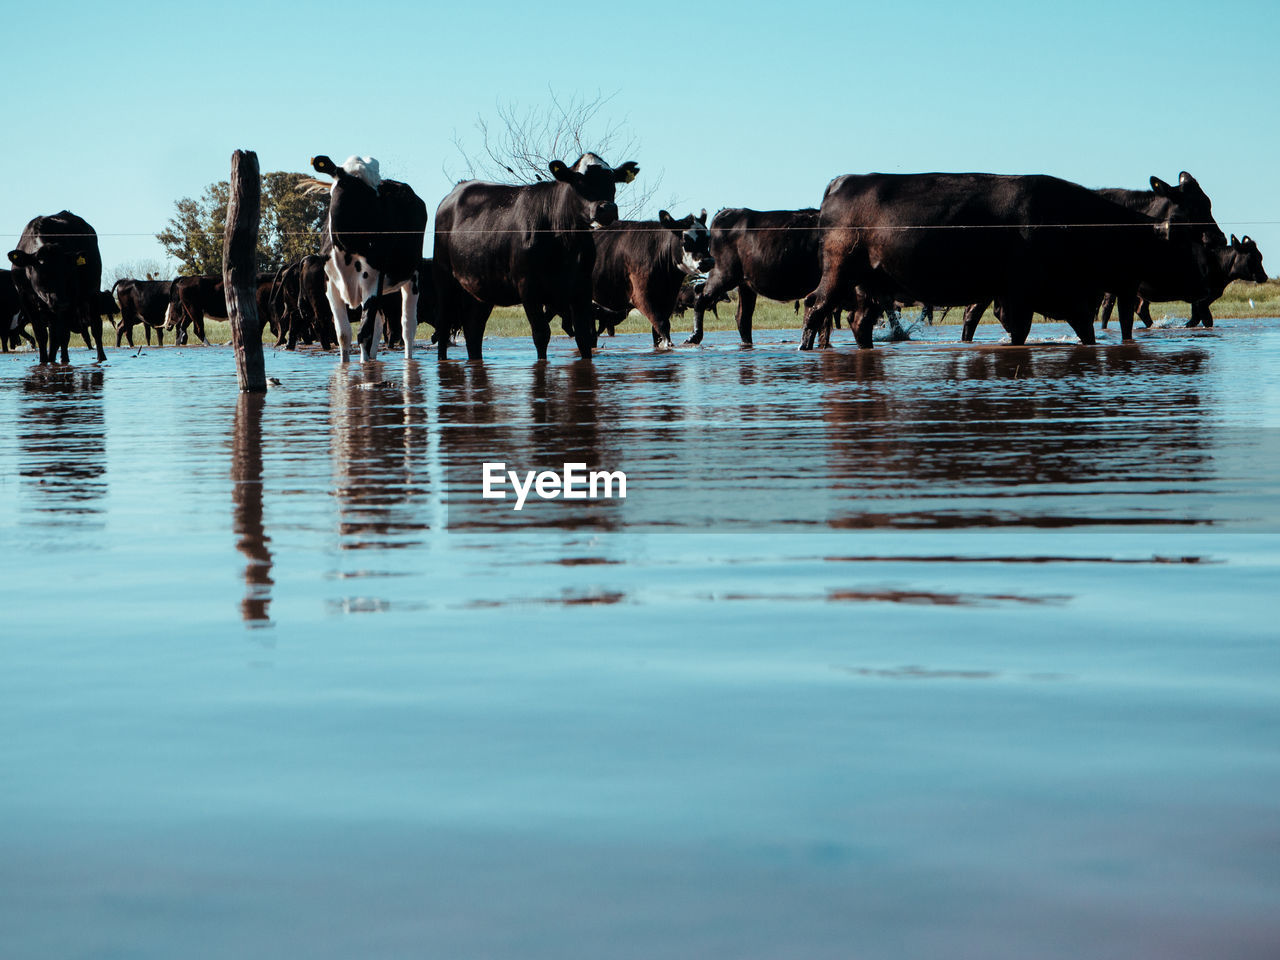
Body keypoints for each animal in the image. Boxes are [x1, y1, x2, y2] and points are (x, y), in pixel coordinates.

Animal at [6, 211, 106, 363]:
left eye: (68, 272)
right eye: (42, 272)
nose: (60, 302)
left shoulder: (69, 300)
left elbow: (62, 335)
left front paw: (60, 361)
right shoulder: (26, 300)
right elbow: (42, 335)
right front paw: (43, 361)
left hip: (92, 292)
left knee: (95, 327)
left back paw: (100, 358)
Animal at [309, 156, 430, 363]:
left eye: (377, 189)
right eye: (364, 190)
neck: (347, 249)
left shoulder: (372, 281)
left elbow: (364, 334)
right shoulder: (331, 286)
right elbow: (343, 335)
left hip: (412, 275)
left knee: (408, 327)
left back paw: (408, 358)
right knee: (379, 326)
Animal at [435, 152, 640, 363]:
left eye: (612, 180)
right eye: (579, 181)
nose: (607, 209)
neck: (564, 242)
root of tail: (458, 189)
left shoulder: (582, 287)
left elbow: (584, 336)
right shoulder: (528, 287)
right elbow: (541, 334)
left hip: (481, 289)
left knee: (474, 330)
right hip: (444, 278)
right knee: (444, 327)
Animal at [586, 209, 716, 350]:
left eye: (708, 238)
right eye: (685, 239)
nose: (708, 261)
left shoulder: (668, 299)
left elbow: (657, 332)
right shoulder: (641, 297)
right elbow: (662, 325)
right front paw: (668, 345)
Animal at [803, 175, 1213, 350]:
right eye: (1198, 208)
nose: (1219, 238)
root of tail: (843, 181)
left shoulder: (1074, 298)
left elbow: (1088, 332)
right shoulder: (1022, 294)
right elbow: (1019, 332)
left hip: (869, 285)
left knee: (858, 322)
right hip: (838, 273)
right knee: (815, 308)